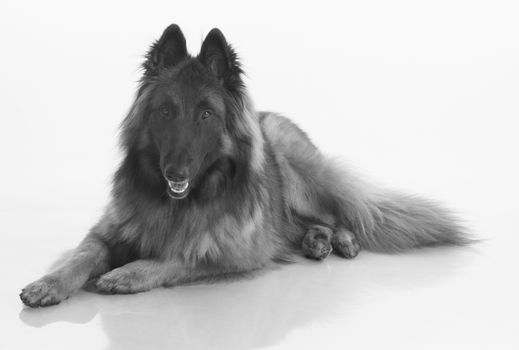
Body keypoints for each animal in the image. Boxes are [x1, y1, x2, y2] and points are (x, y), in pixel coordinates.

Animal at [20, 24, 470, 308]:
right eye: (165, 111)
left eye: (206, 114)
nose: (175, 173)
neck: (177, 205)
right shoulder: (105, 232)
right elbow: (80, 257)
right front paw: (48, 284)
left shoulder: (231, 253)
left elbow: (177, 257)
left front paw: (128, 273)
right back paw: (316, 242)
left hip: (296, 169)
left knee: (339, 213)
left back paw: (341, 239)